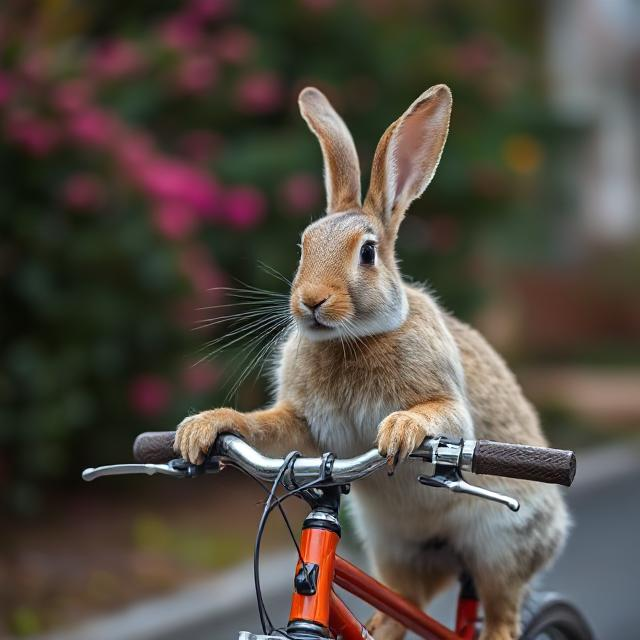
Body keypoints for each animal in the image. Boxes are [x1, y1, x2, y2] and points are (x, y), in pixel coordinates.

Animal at [175, 84, 569, 640]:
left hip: (502, 546)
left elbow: (442, 416)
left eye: (367, 253)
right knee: (406, 598)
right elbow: (265, 427)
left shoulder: (446, 400)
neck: (351, 339)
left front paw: (400, 430)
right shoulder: (305, 428)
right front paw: (204, 428)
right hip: (398, 549)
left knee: (502, 607)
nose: (312, 301)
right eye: (303, 246)